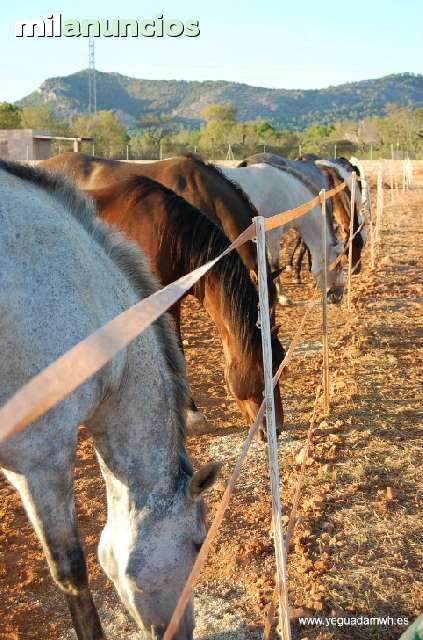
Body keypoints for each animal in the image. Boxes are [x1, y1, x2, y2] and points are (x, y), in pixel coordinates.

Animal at [218, 158, 345, 303]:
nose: (338, 296)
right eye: (338, 265)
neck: (288, 192)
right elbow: (275, 264)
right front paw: (282, 296)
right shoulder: (273, 234)